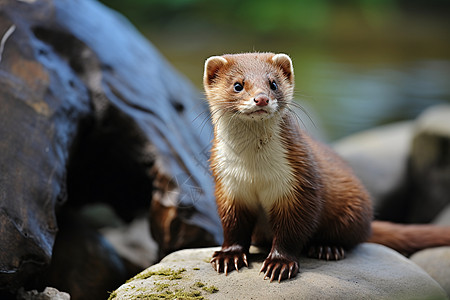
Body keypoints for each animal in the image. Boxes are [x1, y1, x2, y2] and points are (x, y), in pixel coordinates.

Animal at [203, 51, 450, 282]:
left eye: (273, 83)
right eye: (238, 85)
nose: (261, 99)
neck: (254, 168)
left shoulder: (299, 182)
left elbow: (292, 230)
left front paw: (279, 263)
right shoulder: (229, 187)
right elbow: (233, 227)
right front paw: (228, 256)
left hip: (352, 207)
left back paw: (327, 248)